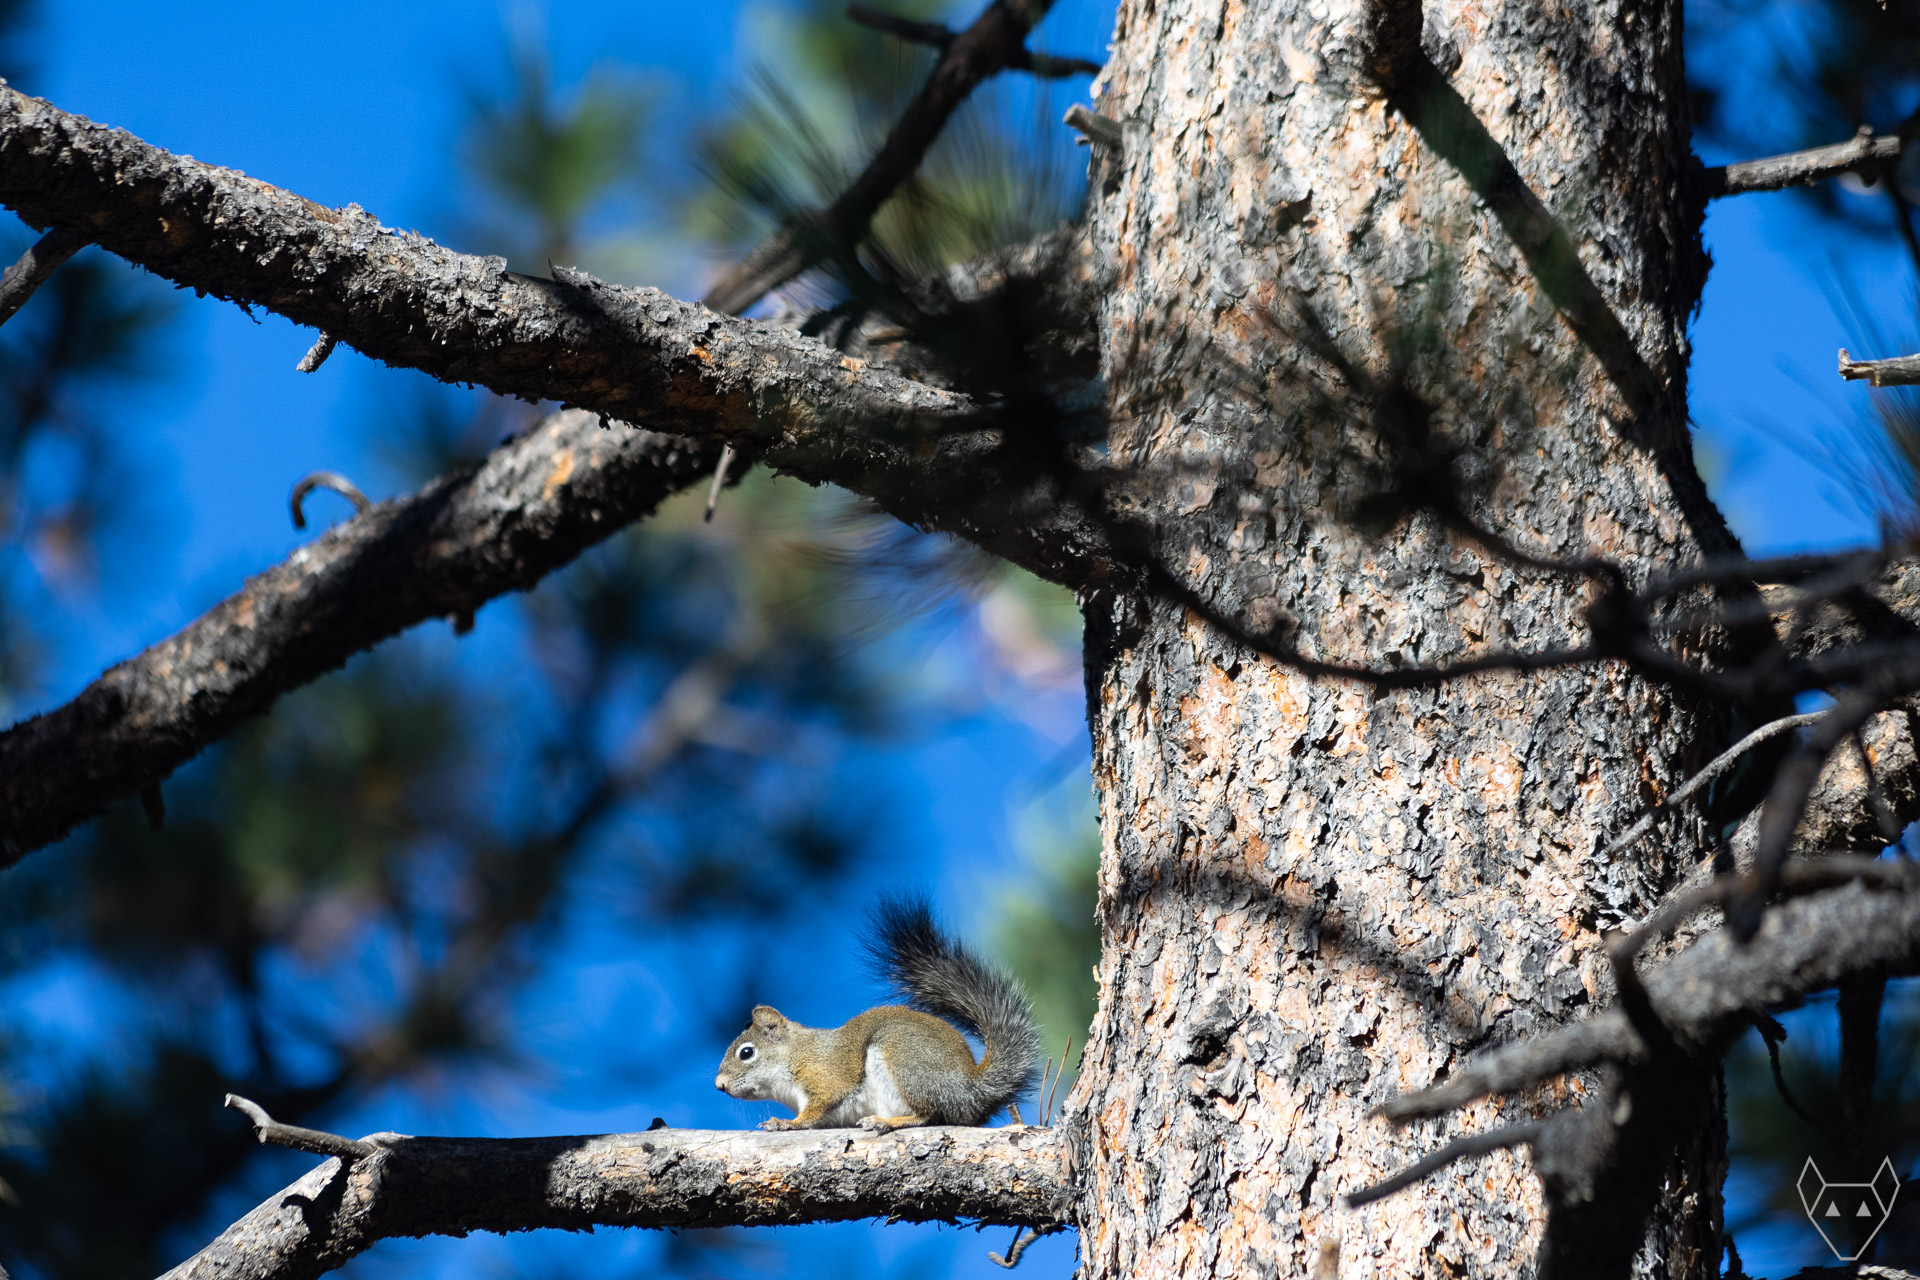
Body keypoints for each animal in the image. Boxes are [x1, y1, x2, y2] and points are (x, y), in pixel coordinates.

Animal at [714, 896, 1041, 1132]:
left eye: (746, 1052)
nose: (719, 1086)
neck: (795, 1054)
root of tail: (970, 1089)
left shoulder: (826, 1075)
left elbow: (817, 1108)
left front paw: (786, 1123)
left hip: (904, 1059)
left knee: (929, 1114)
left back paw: (883, 1121)